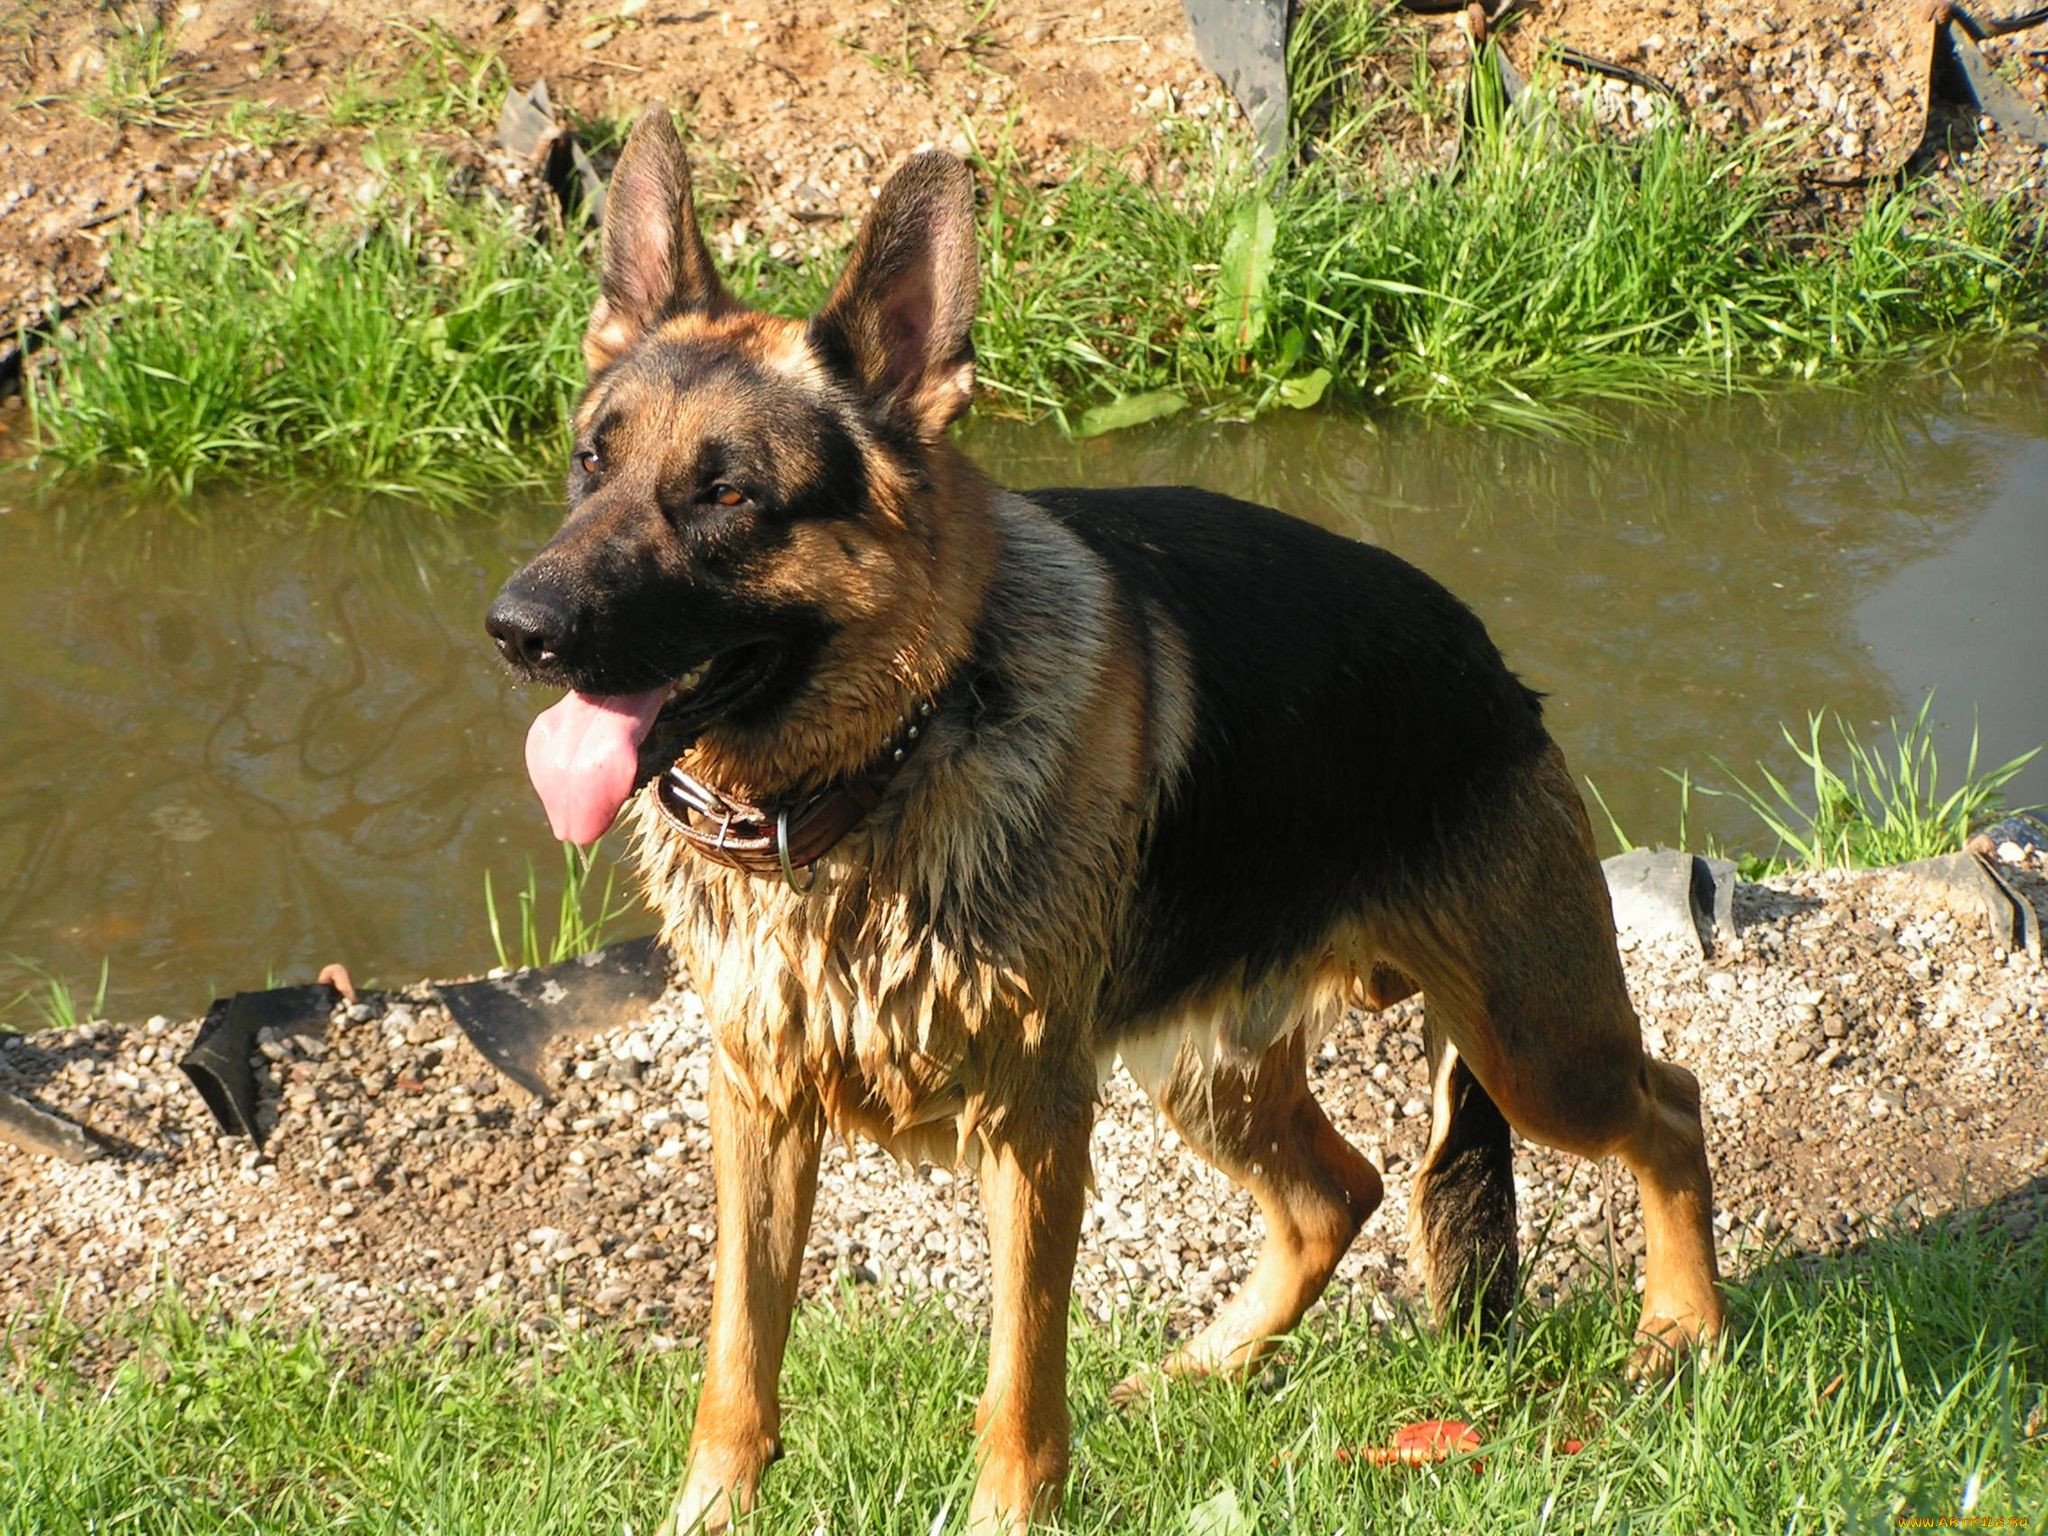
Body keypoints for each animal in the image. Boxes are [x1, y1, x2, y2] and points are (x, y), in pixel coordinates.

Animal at [487, 105, 1720, 1531]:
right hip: (1205, 1067)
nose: (515, 629)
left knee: (1667, 1105)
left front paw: (1008, 1515)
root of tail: (1488, 665)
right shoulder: (757, 1103)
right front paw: (712, 1510)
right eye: (591, 461)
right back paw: (1204, 1368)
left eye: (727, 494)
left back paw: (1682, 1330)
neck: (868, 785)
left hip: (1532, 1045)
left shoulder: (1033, 1119)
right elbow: (739, 1357)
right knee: (1336, 1194)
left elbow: (1019, 1370)